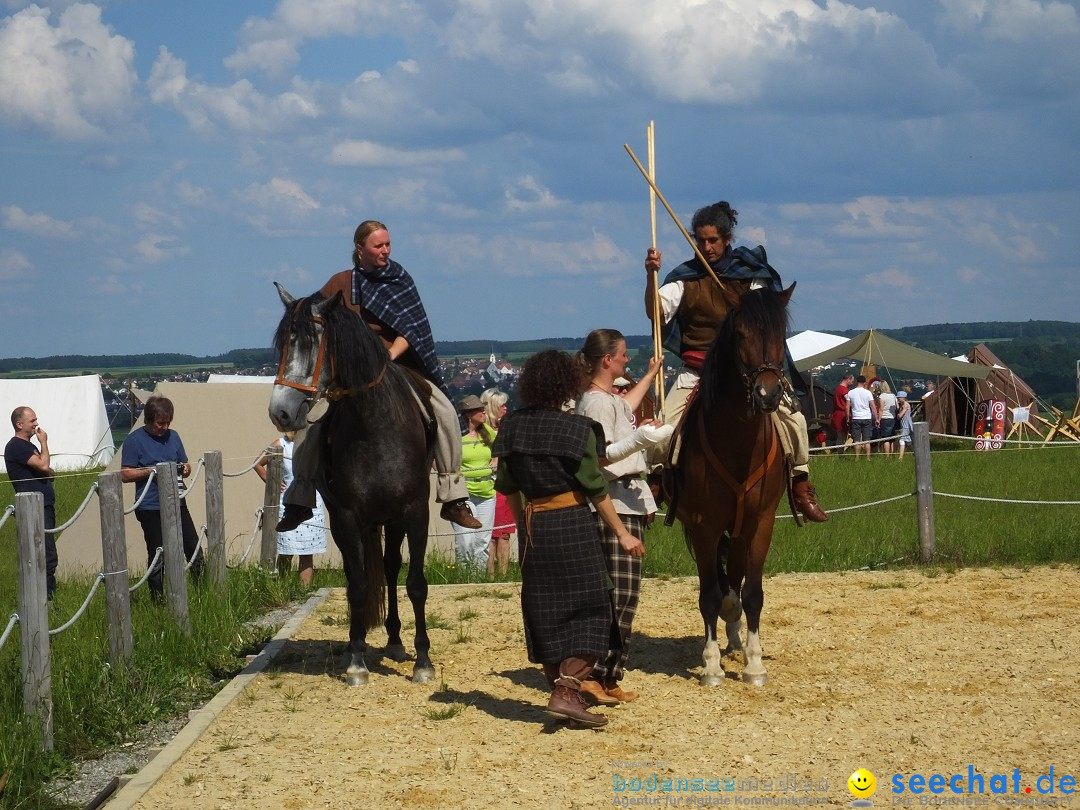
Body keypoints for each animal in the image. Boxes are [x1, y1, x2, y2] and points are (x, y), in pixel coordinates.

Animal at [665, 282, 794, 686]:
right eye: (741, 334)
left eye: (780, 334)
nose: (768, 394)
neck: (739, 441)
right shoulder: (704, 526)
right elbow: (708, 595)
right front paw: (710, 666)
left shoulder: (761, 523)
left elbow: (752, 593)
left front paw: (754, 664)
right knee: (721, 586)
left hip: (740, 531)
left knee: (735, 582)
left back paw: (736, 637)